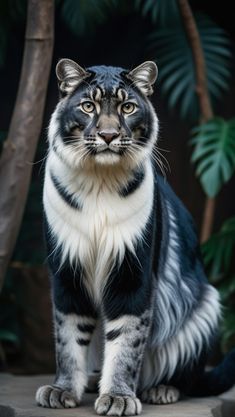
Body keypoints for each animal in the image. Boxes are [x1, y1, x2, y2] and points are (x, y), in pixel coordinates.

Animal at [35, 58, 235, 412]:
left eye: (127, 107)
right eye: (88, 106)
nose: (109, 135)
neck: (99, 180)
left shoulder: (133, 272)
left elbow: (127, 341)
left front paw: (117, 397)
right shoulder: (66, 271)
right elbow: (68, 337)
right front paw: (62, 390)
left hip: (206, 303)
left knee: (186, 377)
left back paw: (161, 390)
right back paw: (92, 382)